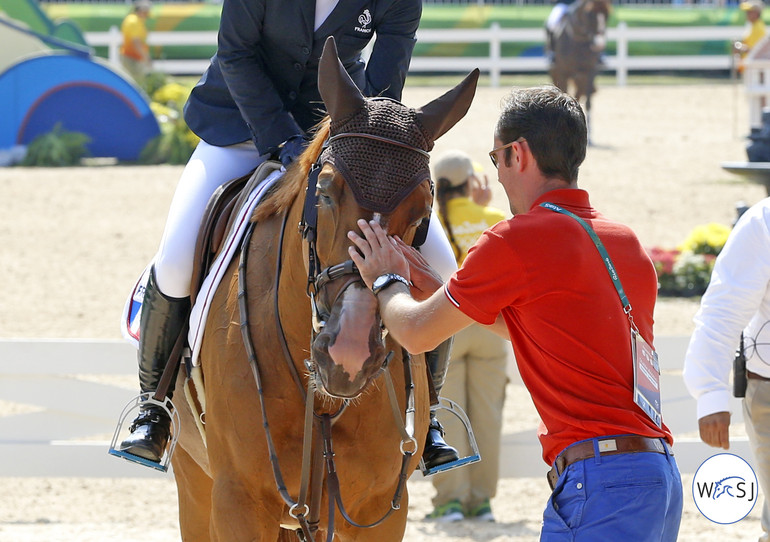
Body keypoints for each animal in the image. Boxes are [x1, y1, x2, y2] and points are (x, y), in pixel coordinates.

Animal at [170, 39, 476, 542]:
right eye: (326, 191)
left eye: (422, 211)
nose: (349, 354)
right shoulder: (237, 502)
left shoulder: (381, 509)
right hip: (194, 482)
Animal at [548, 0, 608, 143]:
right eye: (590, 13)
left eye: (607, 14)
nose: (599, 44)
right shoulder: (563, 73)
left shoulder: (590, 72)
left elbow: (589, 103)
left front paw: (590, 136)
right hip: (556, 72)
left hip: (580, 78)